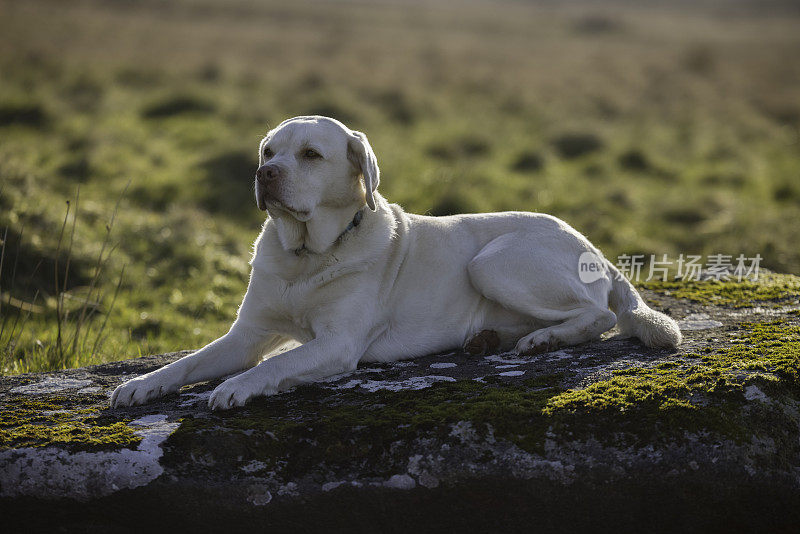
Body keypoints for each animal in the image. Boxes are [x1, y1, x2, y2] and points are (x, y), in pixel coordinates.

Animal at [109, 116, 680, 410]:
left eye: (311, 155)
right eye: (269, 151)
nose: (265, 173)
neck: (305, 256)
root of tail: (595, 247)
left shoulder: (337, 343)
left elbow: (275, 364)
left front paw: (234, 387)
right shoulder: (247, 333)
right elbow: (188, 362)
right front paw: (142, 384)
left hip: (492, 261)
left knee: (599, 315)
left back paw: (543, 340)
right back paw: (492, 338)